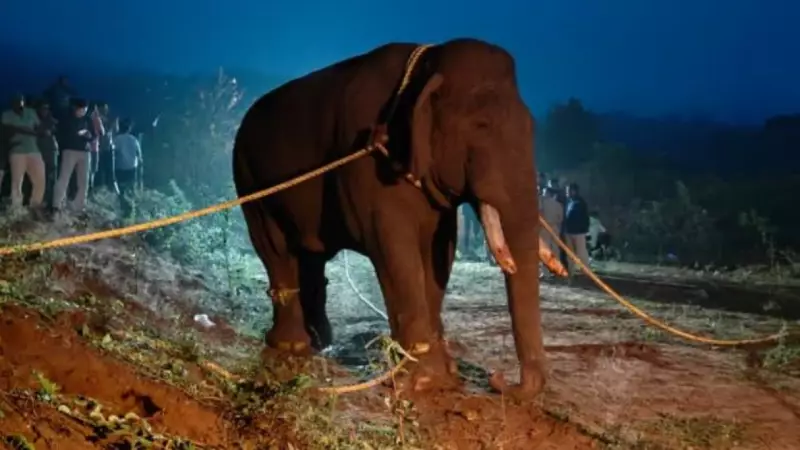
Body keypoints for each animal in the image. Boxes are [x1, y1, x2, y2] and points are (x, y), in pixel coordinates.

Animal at [233, 38, 545, 398]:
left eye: (532, 128)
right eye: (482, 126)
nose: (498, 378)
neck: (429, 61)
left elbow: (440, 253)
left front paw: (445, 375)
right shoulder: (369, 165)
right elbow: (393, 247)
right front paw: (424, 380)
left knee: (310, 258)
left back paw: (320, 341)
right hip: (250, 183)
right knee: (276, 251)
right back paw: (292, 346)